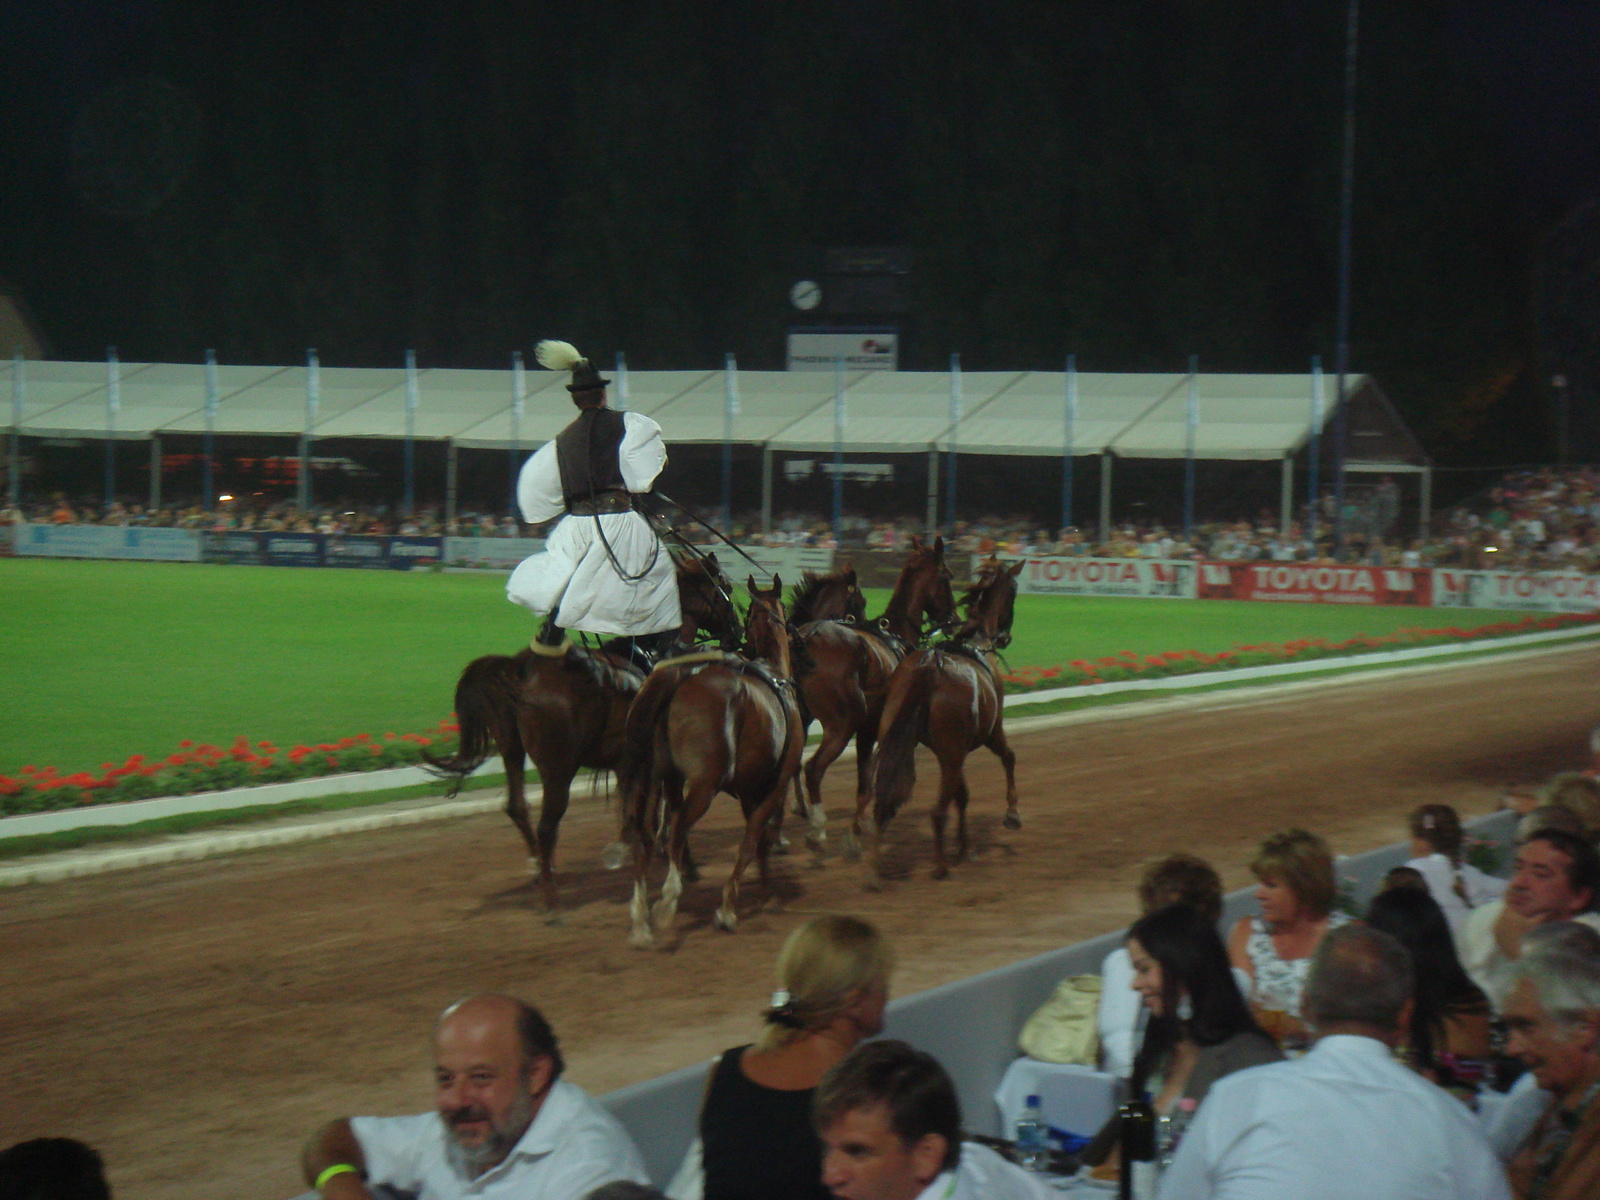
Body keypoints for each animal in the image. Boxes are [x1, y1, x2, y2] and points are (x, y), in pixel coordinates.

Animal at [422, 553, 739, 908]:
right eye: (725, 587)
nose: (737, 630)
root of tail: (522, 668)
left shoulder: (632, 764)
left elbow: (642, 812)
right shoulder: (656, 762)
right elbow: (666, 811)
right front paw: (683, 862)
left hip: (512, 750)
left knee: (517, 807)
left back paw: (540, 868)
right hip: (558, 768)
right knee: (548, 822)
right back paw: (549, 890)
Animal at [617, 579, 806, 947]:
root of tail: (682, 675)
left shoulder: (750, 790)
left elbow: (759, 843)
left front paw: (765, 894)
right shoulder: (774, 787)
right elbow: (751, 842)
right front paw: (728, 909)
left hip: (658, 778)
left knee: (645, 837)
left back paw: (640, 919)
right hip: (704, 785)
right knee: (676, 830)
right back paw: (668, 902)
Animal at [790, 540, 953, 851]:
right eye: (947, 577)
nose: (954, 620)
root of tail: (809, 637)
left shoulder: (866, 730)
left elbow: (864, 781)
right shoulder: (877, 729)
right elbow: (871, 780)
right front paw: (858, 829)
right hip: (842, 725)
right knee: (813, 769)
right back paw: (817, 829)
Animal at [864, 556, 1024, 883]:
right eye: (1013, 591)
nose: (1005, 637)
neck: (976, 641)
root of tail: (930, 664)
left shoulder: (950, 751)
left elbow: (962, 795)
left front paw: (963, 846)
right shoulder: (990, 733)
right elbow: (1009, 757)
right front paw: (1012, 813)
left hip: (902, 738)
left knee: (884, 798)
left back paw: (874, 868)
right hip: (953, 752)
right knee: (937, 811)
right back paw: (939, 866)